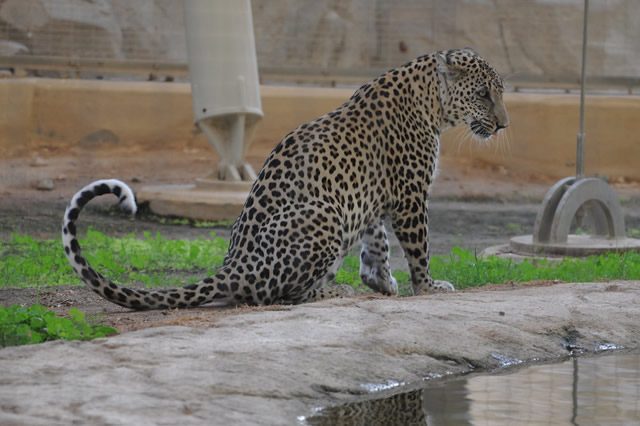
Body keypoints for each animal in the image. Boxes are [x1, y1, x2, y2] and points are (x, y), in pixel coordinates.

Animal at [61, 48, 510, 312]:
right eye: (484, 94)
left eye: (498, 92)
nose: (505, 125)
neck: (431, 102)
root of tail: (234, 267)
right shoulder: (411, 196)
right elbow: (419, 248)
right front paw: (428, 286)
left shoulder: (369, 199)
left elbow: (376, 244)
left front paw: (382, 282)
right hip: (323, 215)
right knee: (280, 294)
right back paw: (334, 291)